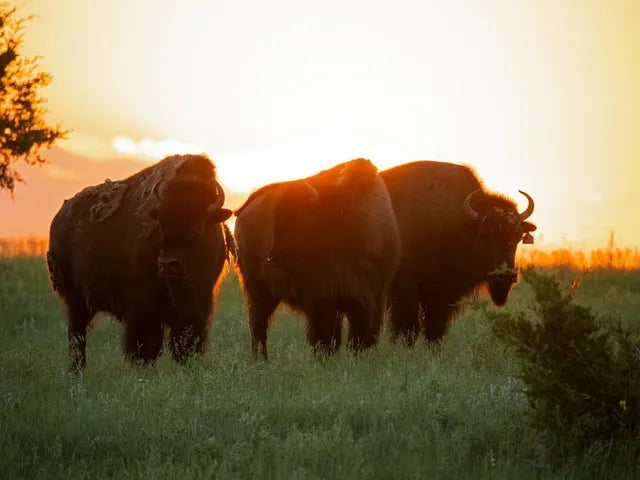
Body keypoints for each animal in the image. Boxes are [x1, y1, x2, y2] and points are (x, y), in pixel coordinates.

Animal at [47, 154, 234, 372]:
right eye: (161, 225)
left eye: (200, 228)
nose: (167, 264)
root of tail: (59, 218)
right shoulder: (143, 307)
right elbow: (147, 345)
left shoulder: (198, 305)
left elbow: (186, 342)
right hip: (76, 300)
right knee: (77, 334)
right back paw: (77, 370)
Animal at [234, 158, 400, 359]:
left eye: (298, 218)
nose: (272, 255)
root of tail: (244, 210)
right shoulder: (323, 299)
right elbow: (325, 335)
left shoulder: (373, 295)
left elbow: (360, 332)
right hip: (259, 291)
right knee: (258, 324)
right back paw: (261, 359)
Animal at [380, 161, 536, 344]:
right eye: (485, 233)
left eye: (518, 236)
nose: (506, 277)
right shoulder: (405, 290)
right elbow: (407, 326)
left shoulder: (444, 295)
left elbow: (435, 328)